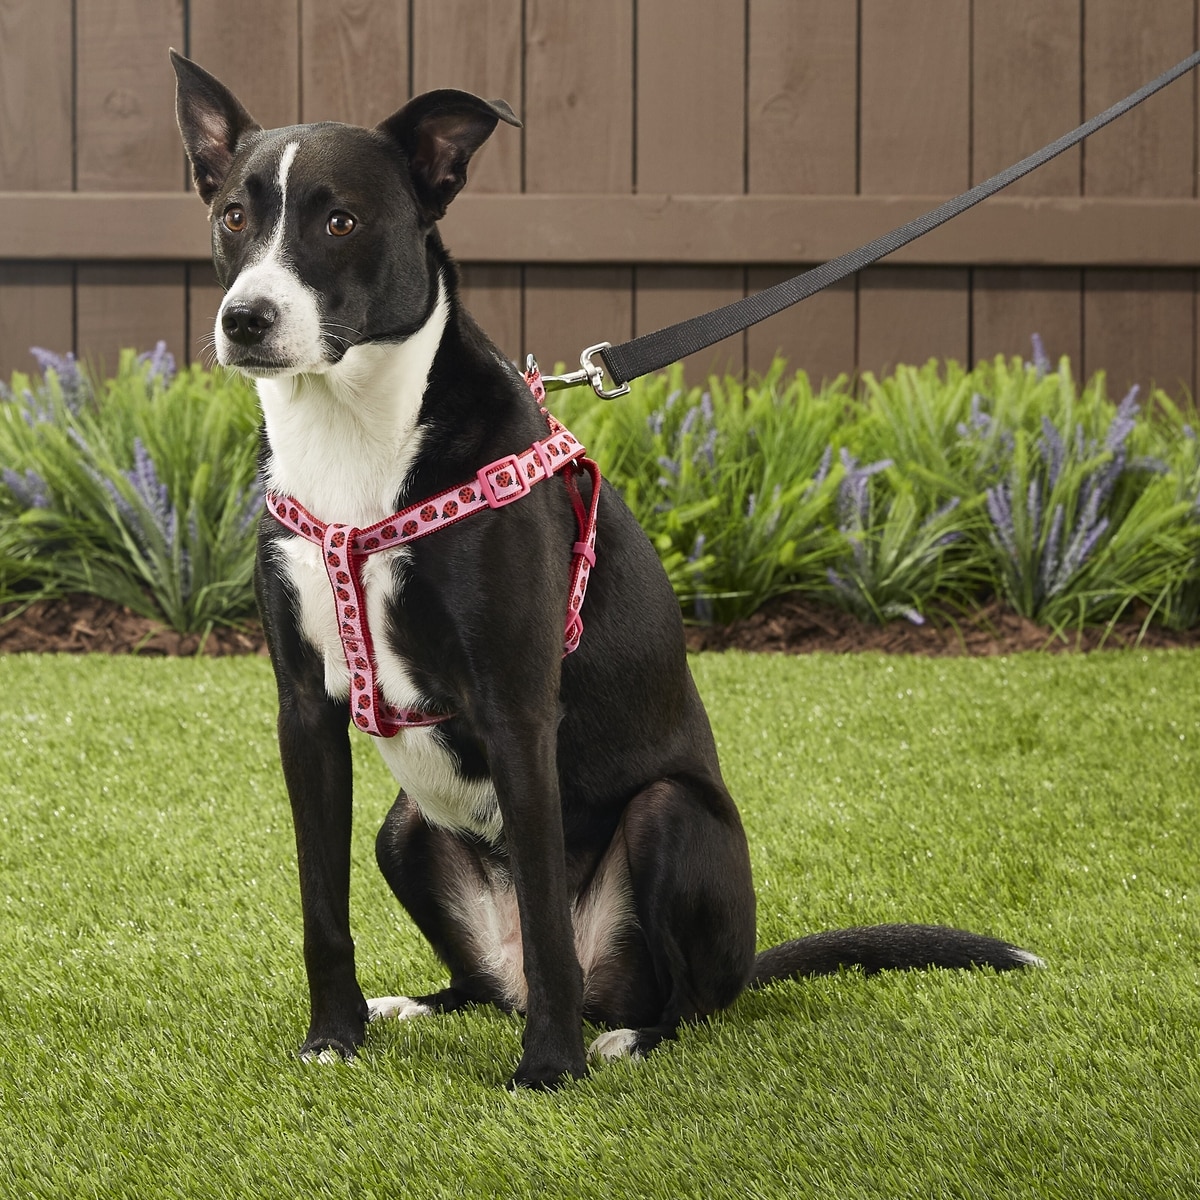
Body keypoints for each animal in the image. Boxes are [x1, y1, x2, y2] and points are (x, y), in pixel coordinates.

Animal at [171, 50, 1041, 1089]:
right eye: (232, 216)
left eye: (340, 220)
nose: (245, 319)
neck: (356, 449)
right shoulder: (304, 711)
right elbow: (320, 905)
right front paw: (334, 1037)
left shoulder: (517, 710)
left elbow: (549, 918)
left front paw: (548, 1071)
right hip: (403, 829)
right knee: (485, 980)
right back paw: (421, 1006)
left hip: (669, 820)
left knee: (680, 999)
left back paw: (623, 1037)